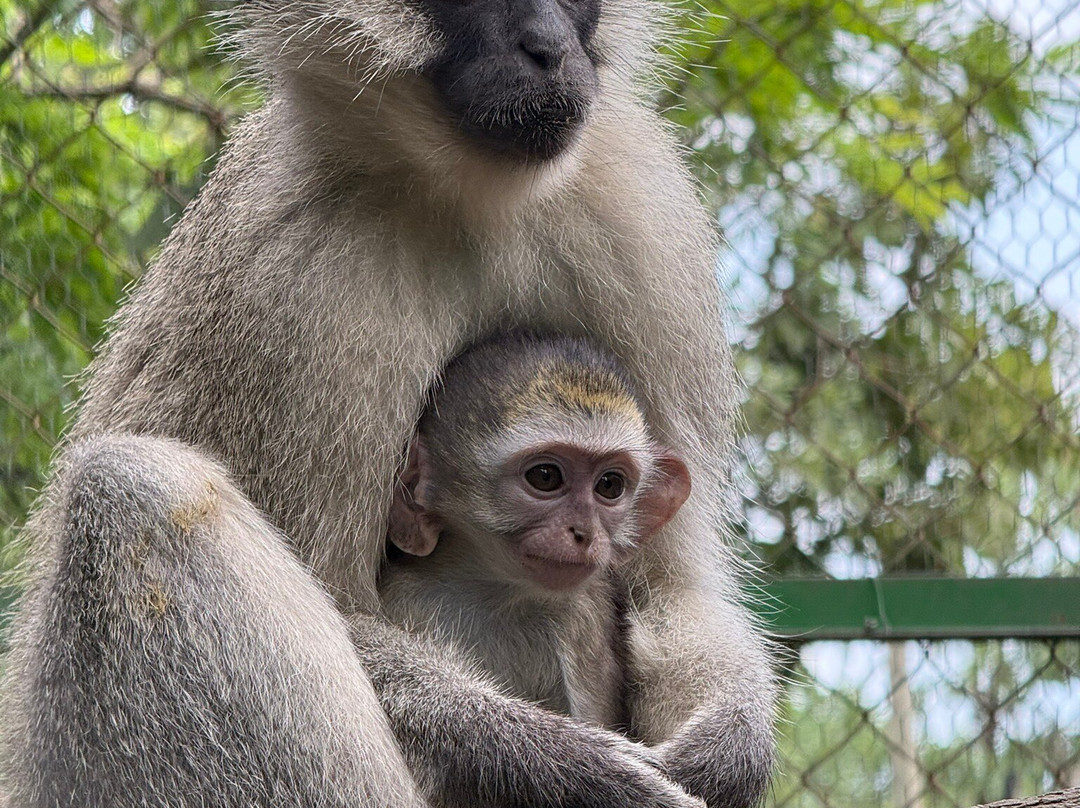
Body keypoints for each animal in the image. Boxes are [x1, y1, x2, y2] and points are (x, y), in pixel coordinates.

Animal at [378, 332, 692, 731]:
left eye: (609, 485)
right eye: (545, 476)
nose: (584, 532)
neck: (499, 595)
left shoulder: (582, 617)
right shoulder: (407, 595)